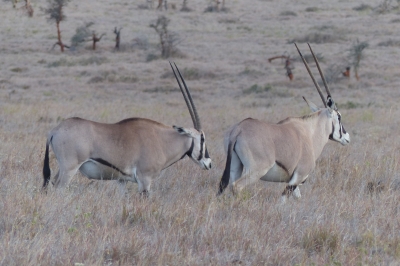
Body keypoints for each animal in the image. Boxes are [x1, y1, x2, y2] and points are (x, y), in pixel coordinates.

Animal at [43, 63, 212, 194]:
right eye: (202, 138)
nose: (209, 163)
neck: (162, 141)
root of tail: (54, 131)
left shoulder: (122, 181)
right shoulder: (145, 180)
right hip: (69, 168)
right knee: (58, 188)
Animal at [219, 44, 350, 201]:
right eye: (339, 117)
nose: (347, 137)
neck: (310, 133)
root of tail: (238, 130)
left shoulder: (294, 182)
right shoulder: (298, 177)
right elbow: (283, 200)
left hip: (236, 166)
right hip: (256, 170)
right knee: (237, 186)